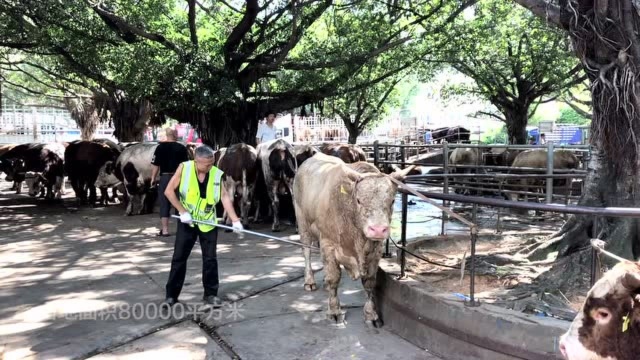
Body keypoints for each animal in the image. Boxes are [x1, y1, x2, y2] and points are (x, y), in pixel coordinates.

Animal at [292, 153, 412, 328]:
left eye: (392, 201)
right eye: (359, 200)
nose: (378, 229)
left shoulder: (375, 249)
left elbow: (369, 282)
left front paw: (371, 314)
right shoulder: (328, 243)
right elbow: (334, 278)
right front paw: (334, 311)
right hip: (302, 222)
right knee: (306, 251)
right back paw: (309, 280)